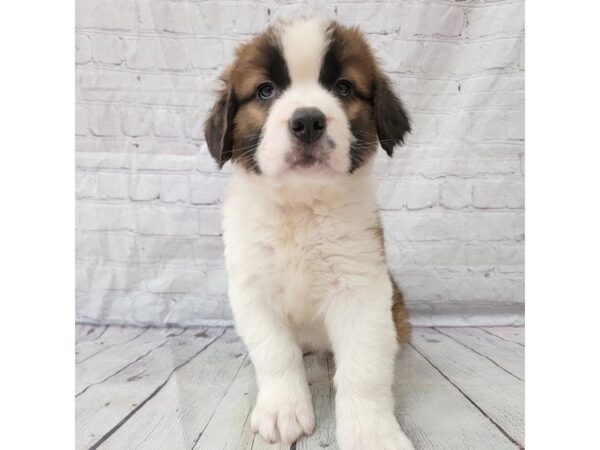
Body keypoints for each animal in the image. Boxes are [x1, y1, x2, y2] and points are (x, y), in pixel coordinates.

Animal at [204, 17, 414, 450]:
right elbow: (275, 354)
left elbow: (364, 368)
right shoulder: (252, 292)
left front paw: (370, 432)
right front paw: (282, 409)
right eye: (265, 91)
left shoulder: (361, 291)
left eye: (344, 88)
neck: (300, 209)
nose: (307, 121)